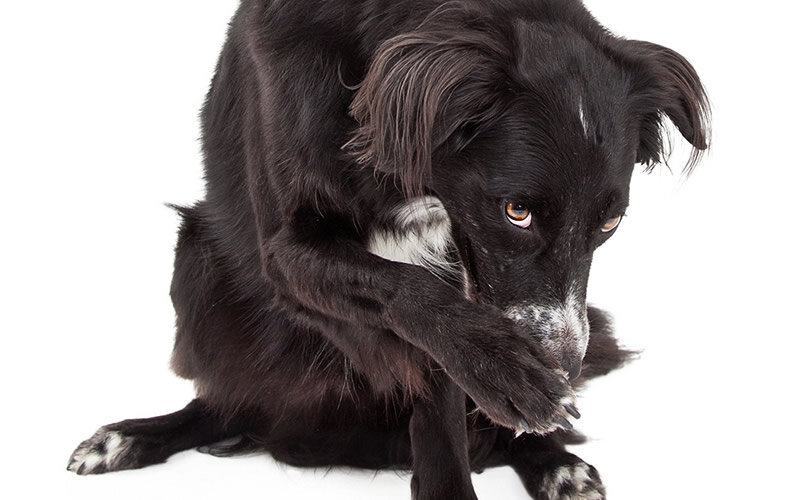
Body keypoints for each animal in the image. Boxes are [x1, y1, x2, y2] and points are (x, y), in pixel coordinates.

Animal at [67, 1, 708, 498]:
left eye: (611, 222)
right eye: (517, 212)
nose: (566, 369)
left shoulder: (453, 256)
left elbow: (440, 383)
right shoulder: (288, 251)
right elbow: (410, 296)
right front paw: (506, 372)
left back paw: (558, 466)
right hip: (196, 259)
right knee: (229, 400)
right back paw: (126, 439)